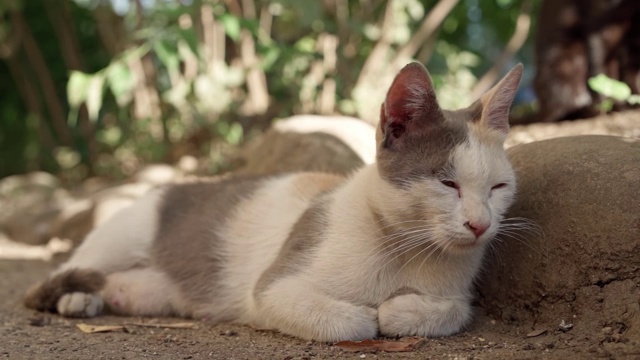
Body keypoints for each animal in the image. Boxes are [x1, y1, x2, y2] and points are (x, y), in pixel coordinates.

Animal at [25, 62, 524, 344]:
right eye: (447, 183)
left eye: (498, 188)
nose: (480, 225)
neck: (409, 251)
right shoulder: (273, 287)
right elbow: (354, 322)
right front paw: (370, 313)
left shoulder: (456, 291)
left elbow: (455, 309)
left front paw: (402, 310)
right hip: (118, 238)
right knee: (46, 282)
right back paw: (74, 298)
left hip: (154, 292)